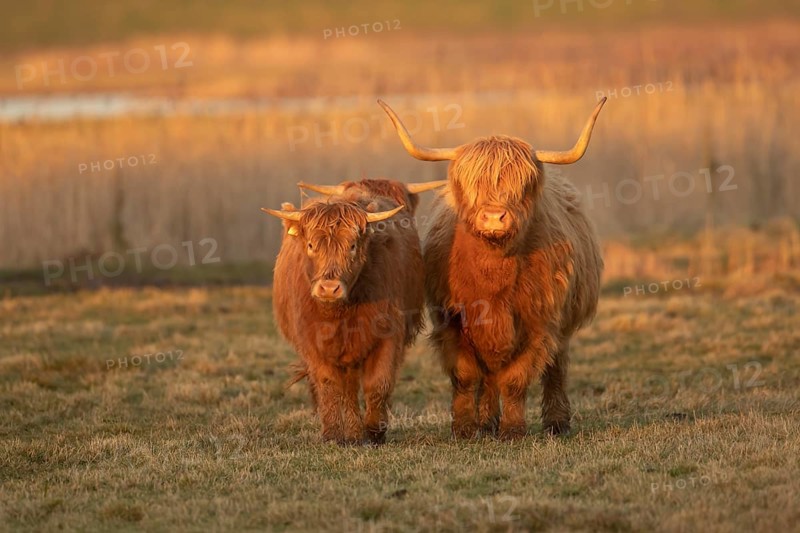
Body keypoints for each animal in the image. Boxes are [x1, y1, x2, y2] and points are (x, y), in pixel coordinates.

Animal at [261, 179, 443, 444]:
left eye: (352, 246)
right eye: (311, 245)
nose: (329, 288)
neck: (338, 314)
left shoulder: (388, 335)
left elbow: (378, 383)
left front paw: (374, 431)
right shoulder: (311, 341)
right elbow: (328, 384)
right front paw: (333, 434)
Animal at [378, 98, 607, 440]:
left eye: (521, 185)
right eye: (473, 184)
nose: (495, 217)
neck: (493, 274)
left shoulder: (539, 322)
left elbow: (515, 379)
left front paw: (512, 430)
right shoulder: (452, 319)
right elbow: (465, 375)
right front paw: (464, 429)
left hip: (563, 324)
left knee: (556, 368)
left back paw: (556, 423)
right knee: (488, 375)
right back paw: (486, 423)